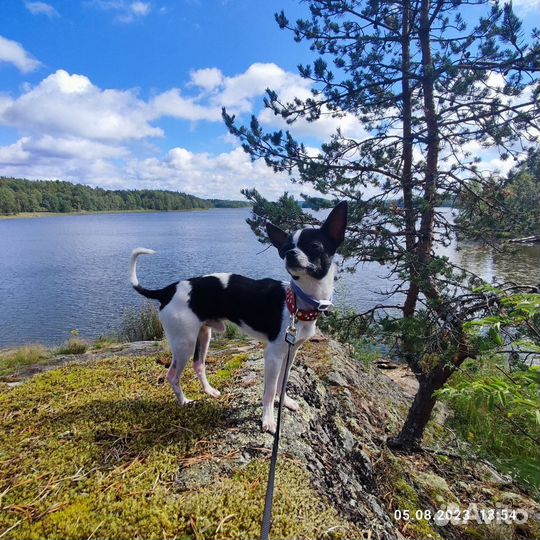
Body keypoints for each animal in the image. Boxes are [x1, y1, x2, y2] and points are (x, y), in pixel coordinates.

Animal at [132, 200, 350, 432]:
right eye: (284, 249)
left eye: (315, 246)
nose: (290, 253)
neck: (298, 302)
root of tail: (168, 290)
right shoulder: (273, 355)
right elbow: (269, 390)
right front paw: (268, 419)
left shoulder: (291, 352)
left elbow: (282, 383)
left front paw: (285, 402)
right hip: (184, 343)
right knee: (172, 375)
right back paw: (184, 401)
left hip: (203, 335)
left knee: (198, 364)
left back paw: (209, 391)